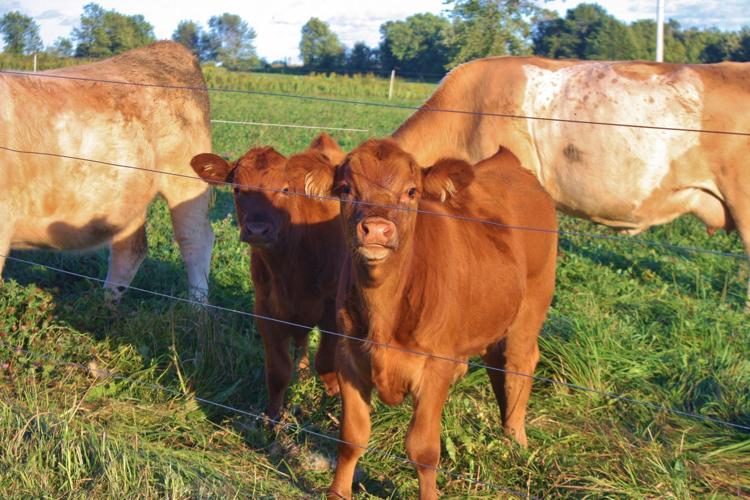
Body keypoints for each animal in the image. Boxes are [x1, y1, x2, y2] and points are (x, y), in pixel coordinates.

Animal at [0, 41, 214, 301]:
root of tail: (164, 47)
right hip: (126, 195)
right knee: (131, 248)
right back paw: (106, 304)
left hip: (187, 181)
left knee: (195, 241)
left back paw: (197, 307)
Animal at [190, 133, 346, 419]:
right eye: (237, 189)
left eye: (285, 189)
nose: (257, 229)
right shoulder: (265, 309)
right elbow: (278, 370)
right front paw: (272, 418)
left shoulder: (332, 309)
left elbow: (326, 361)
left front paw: (334, 396)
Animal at [294, 139, 557, 499]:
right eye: (346, 188)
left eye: (411, 191)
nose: (377, 229)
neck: (384, 313)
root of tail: (510, 163)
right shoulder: (349, 357)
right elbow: (352, 437)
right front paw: (337, 492)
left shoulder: (435, 367)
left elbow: (424, 449)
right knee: (496, 361)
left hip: (532, 303)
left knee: (520, 364)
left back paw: (514, 438)